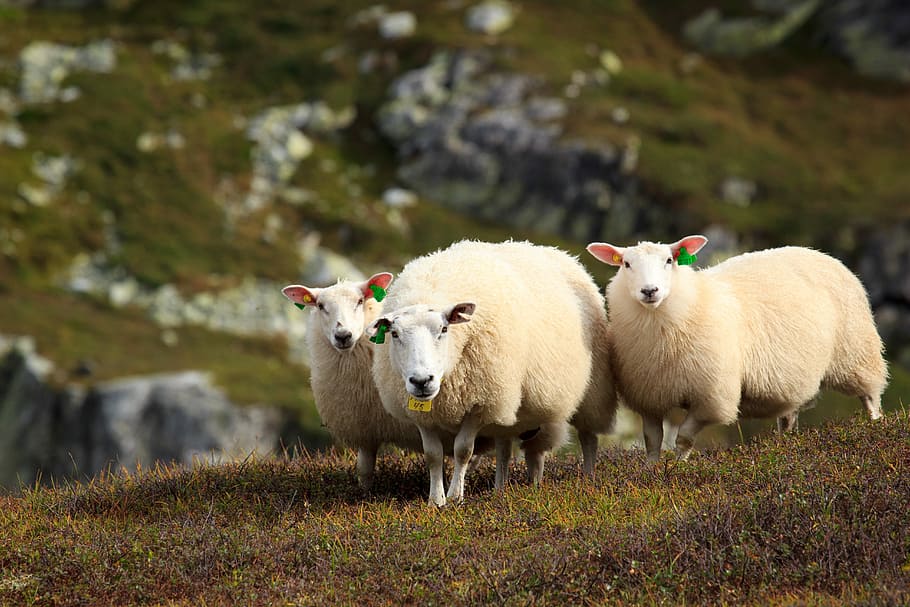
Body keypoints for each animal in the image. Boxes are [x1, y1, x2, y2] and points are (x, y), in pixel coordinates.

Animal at [281, 272, 424, 490]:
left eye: (360, 301)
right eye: (320, 306)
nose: (343, 335)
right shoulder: (364, 426)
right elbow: (364, 469)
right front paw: (364, 493)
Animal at [368, 240, 616, 506]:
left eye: (444, 329)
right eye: (394, 334)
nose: (422, 381)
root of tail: (558, 251)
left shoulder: (480, 403)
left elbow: (463, 450)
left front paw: (455, 497)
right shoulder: (421, 413)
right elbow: (433, 455)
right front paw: (436, 501)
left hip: (592, 391)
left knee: (585, 437)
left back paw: (584, 480)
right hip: (510, 406)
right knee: (508, 448)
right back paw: (504, 489)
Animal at [586, 235, 888, 462]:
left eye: (669, 260)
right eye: (626, 264)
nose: (650, 291)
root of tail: (820, 254)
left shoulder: (712, 399)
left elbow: (683, 438)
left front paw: (677, 469)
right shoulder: (649, 396)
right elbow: (652, 441)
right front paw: (651, 471)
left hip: (856, 352)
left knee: (871, 395)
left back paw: (876, 427)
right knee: (789, 417)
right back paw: (786, 446)